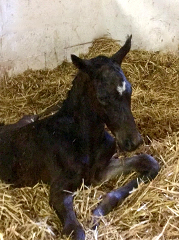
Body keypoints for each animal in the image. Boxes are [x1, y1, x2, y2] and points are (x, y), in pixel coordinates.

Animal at [0, 36, 159, 240]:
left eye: (129, 89)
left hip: (25, 120)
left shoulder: (99, 173)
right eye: (102, 97)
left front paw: (98, 212)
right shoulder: (59, 191)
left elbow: (148, 162)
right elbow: (76, 231)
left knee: (31, 116)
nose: (133, 141)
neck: (82, 139)